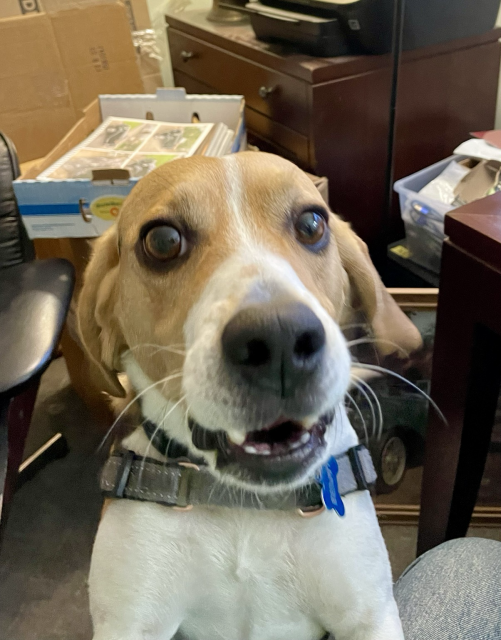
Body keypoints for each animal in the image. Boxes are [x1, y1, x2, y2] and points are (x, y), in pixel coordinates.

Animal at [79, 152, 422, 640]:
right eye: (162, 240)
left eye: (312, 223)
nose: (279, 337)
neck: (245, 507)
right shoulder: (129, 623)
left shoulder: (370, 614)